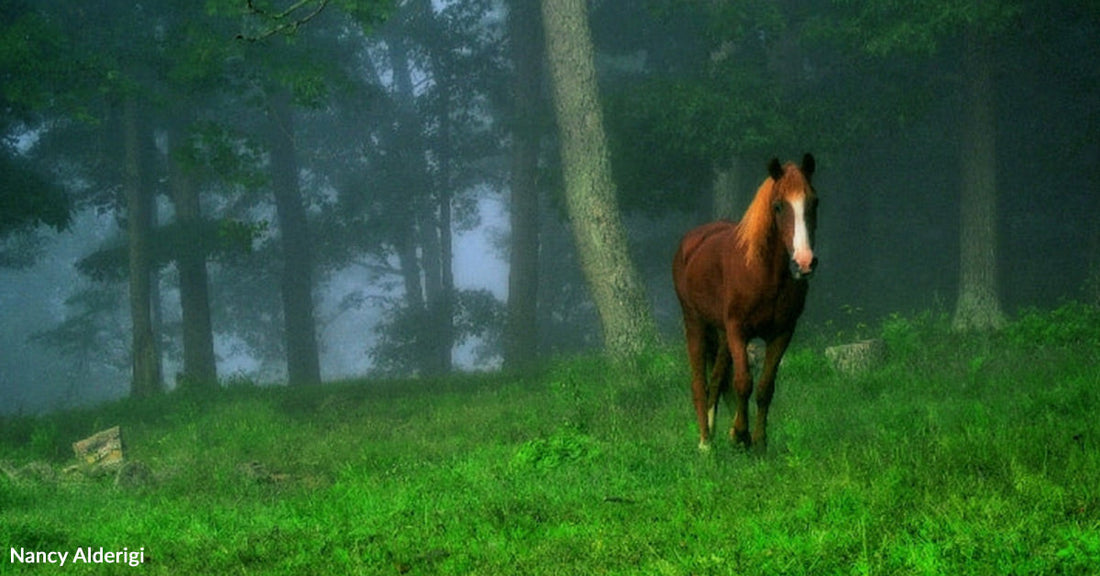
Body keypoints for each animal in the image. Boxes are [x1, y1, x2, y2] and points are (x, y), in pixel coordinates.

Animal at [672, 154, 818, 452]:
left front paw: (758, 442)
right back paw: (705, 443)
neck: (763, 273)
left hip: (721, 334)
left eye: (814, 202)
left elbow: (764, 388)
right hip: (695, 323)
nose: (804, 262)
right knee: (699, 383)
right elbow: (743, 383)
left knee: (717, 379)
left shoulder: (782, 333)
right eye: (778, 206)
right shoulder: (738, 330)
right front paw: (741, 433)